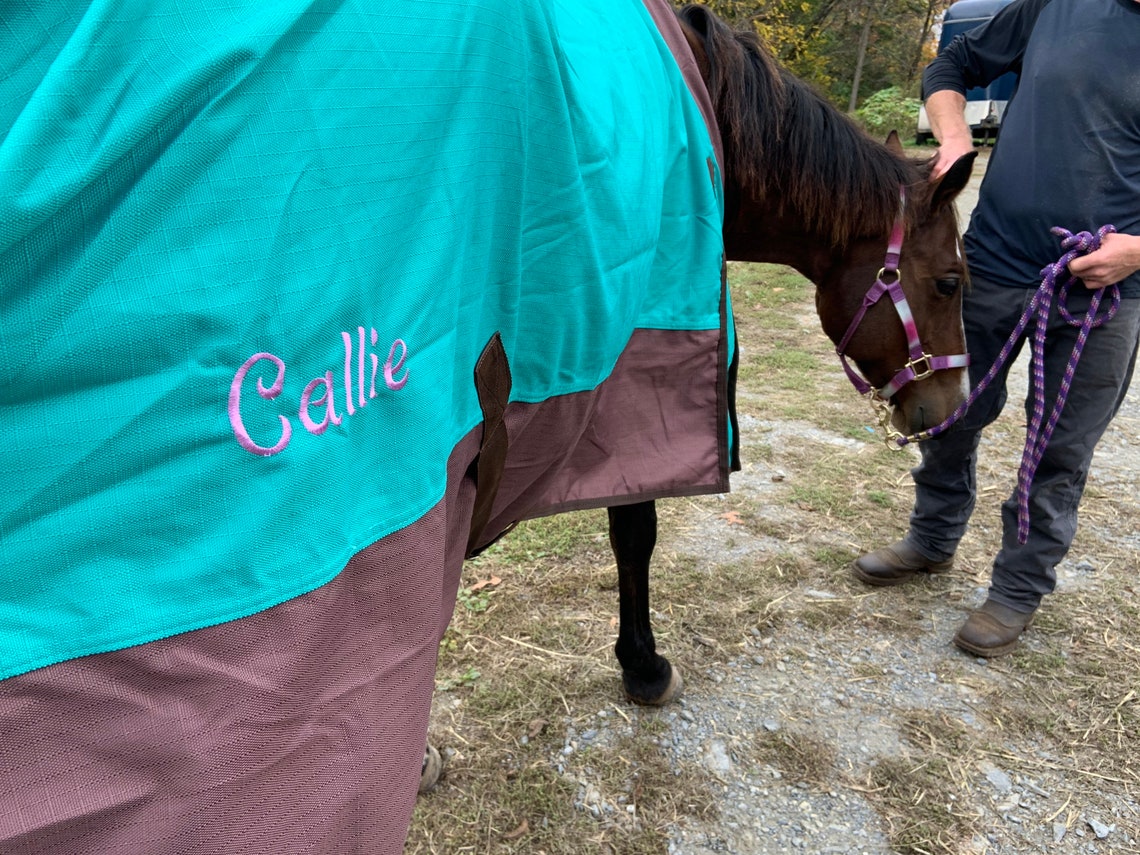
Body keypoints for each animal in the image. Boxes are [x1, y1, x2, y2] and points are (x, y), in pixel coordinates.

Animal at [0, 1, 973, 853]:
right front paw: (643, 665)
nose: (947, 409)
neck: (710, 123)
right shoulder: (622, 397)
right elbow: (634, 533)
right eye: (953, 280)